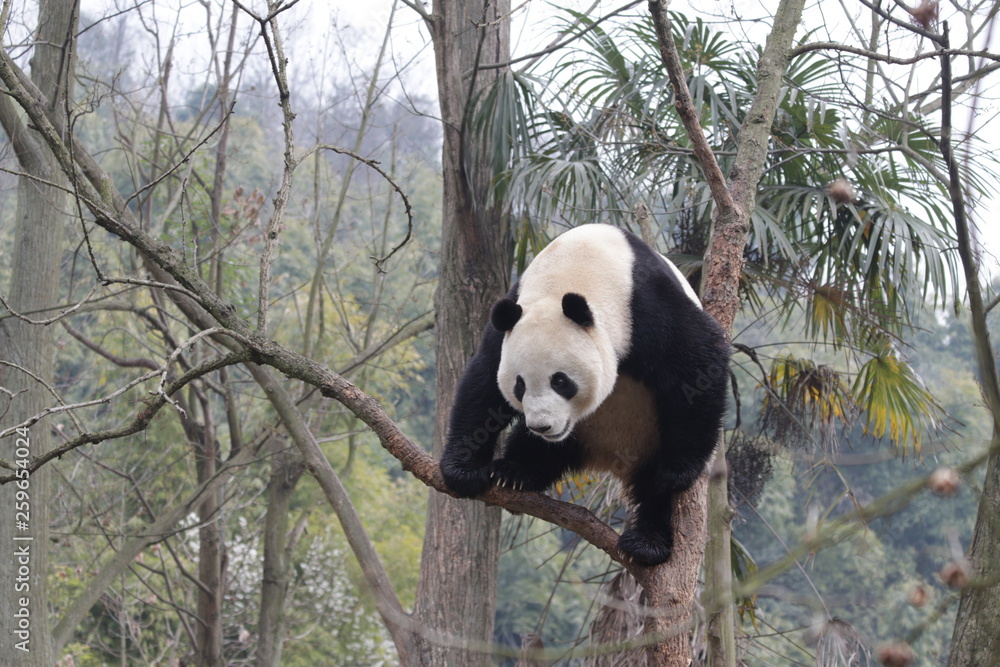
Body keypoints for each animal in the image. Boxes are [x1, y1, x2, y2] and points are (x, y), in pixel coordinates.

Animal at [440, 223, 729, 566]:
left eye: (560, 381)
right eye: (520, 385)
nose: (542, 426)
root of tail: (609, 457)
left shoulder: (645, 303)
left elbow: (700, 361)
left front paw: (678, 470)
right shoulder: (513, 314)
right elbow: (483, 381)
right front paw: (463, 470)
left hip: (651, 435)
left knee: (655, 492)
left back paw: (647, 542)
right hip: (577, 434)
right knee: (538, 450)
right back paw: (515, 472)